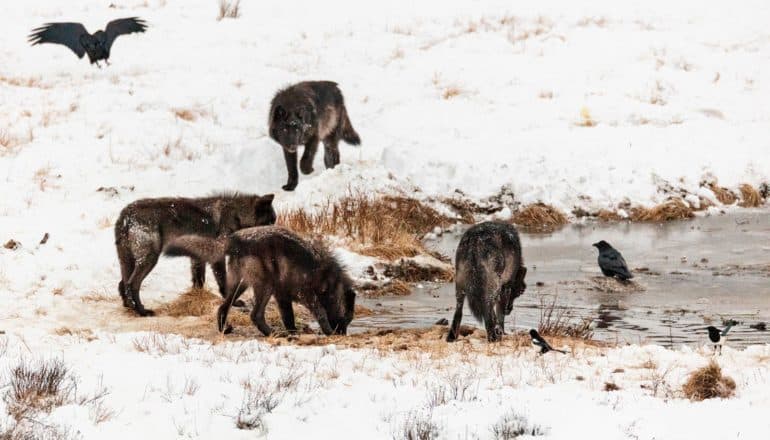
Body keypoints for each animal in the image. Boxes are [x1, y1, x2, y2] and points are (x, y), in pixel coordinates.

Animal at [165, 227, 356, 336]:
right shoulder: (306, 294)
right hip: (265, 287)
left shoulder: (282, 296)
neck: (331, 283)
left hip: (241, 284)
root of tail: (236, 239)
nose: (343, 335)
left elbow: (288, 317)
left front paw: (294, 332)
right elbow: (321, 312)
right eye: (347, 320)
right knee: (255, 315)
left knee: (223, 307)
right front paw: (328, 332)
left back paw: (224, 330)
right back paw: (272, 334)